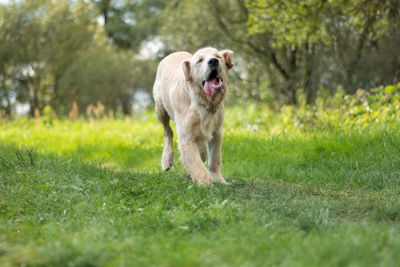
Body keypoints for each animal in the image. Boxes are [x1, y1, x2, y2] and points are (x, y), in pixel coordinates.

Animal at [152, 47, 233, 185]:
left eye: (218, 56)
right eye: (200, 60)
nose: (213, 61)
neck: (203, 102)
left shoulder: (217, 131)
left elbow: (214, 159)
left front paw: (219, 179)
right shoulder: (186, 137)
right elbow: (196, 163)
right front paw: (205, 182)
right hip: (160, 108)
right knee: (167, 131)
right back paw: (167, 159)